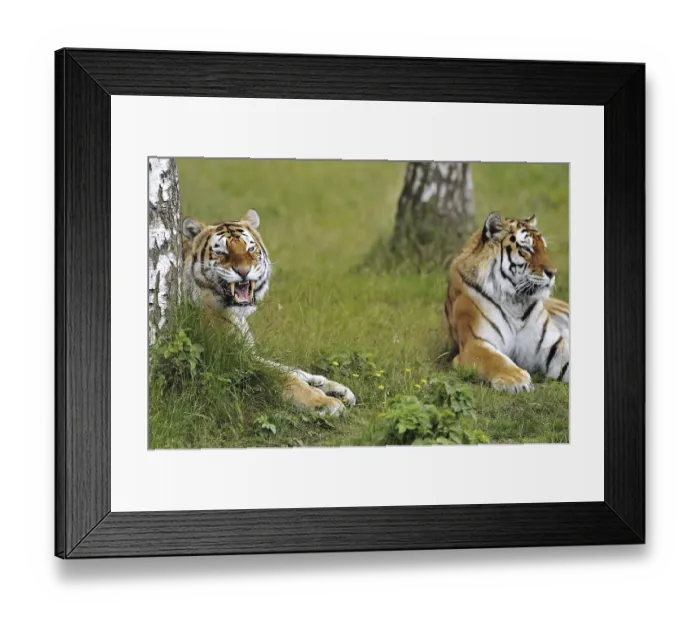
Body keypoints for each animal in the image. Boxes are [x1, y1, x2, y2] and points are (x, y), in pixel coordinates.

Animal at [181, 209, 356, 415]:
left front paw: (334, 387)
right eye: (221, 252)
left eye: (250, 249)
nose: (244, 271)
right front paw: (324, 401)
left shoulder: (246, 351)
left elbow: (285, 367)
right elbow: (283, 377)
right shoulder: (231, 358)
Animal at [444, 212, 569, 392]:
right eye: (526, 249)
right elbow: (495, 359)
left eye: (544, 248)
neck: (516, 301)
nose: (553, 273)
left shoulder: (552, 346)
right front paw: (517, 379)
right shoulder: (474, 342)